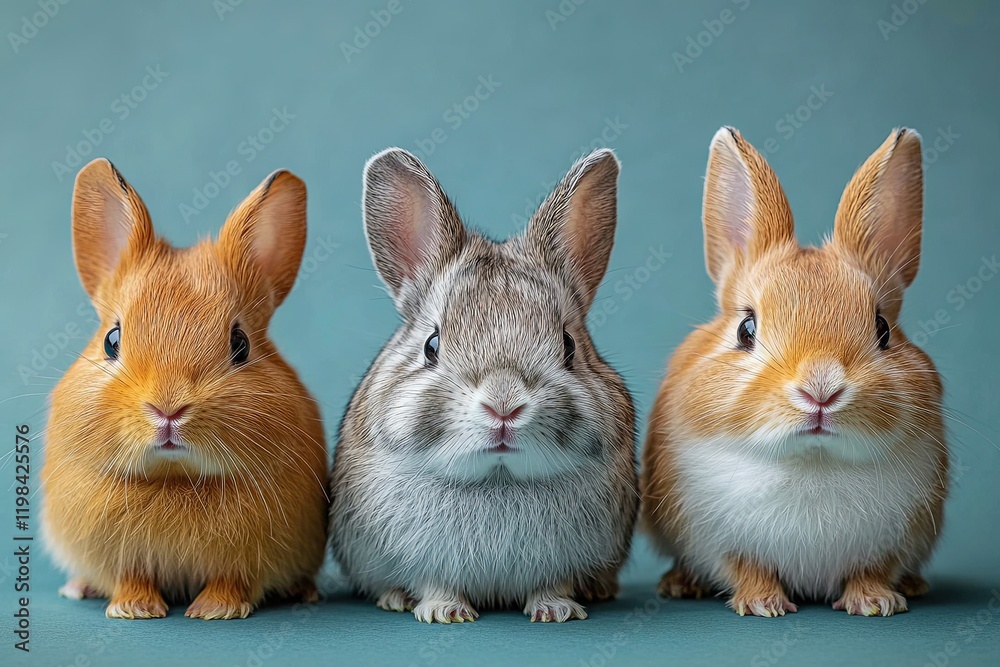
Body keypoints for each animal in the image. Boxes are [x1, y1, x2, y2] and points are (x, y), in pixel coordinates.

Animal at [41, 159, 329, 620]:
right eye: (112, 340)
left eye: (240, 344)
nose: (168, 409)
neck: (176, 478)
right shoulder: (121, 558)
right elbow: (131, 577)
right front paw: (134, 609)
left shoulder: (246, 562)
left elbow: (232, 581)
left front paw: (214, 610)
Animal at [329, 147, 638, 623]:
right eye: (431, 346)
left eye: (568, 345)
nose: (503, 405)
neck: (498, 477)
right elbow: (434, 583)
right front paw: (444, 612)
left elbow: (553, 584)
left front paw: (556, 610)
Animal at [641, 127, 948, 618]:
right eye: (746, 329)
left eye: (883, 329)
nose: (821, 388)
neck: (814, 459)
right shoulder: (720, 540)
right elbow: (747, 569)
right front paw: (763, 604)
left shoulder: (894, 541)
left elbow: (872, 571)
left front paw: (875, 602)